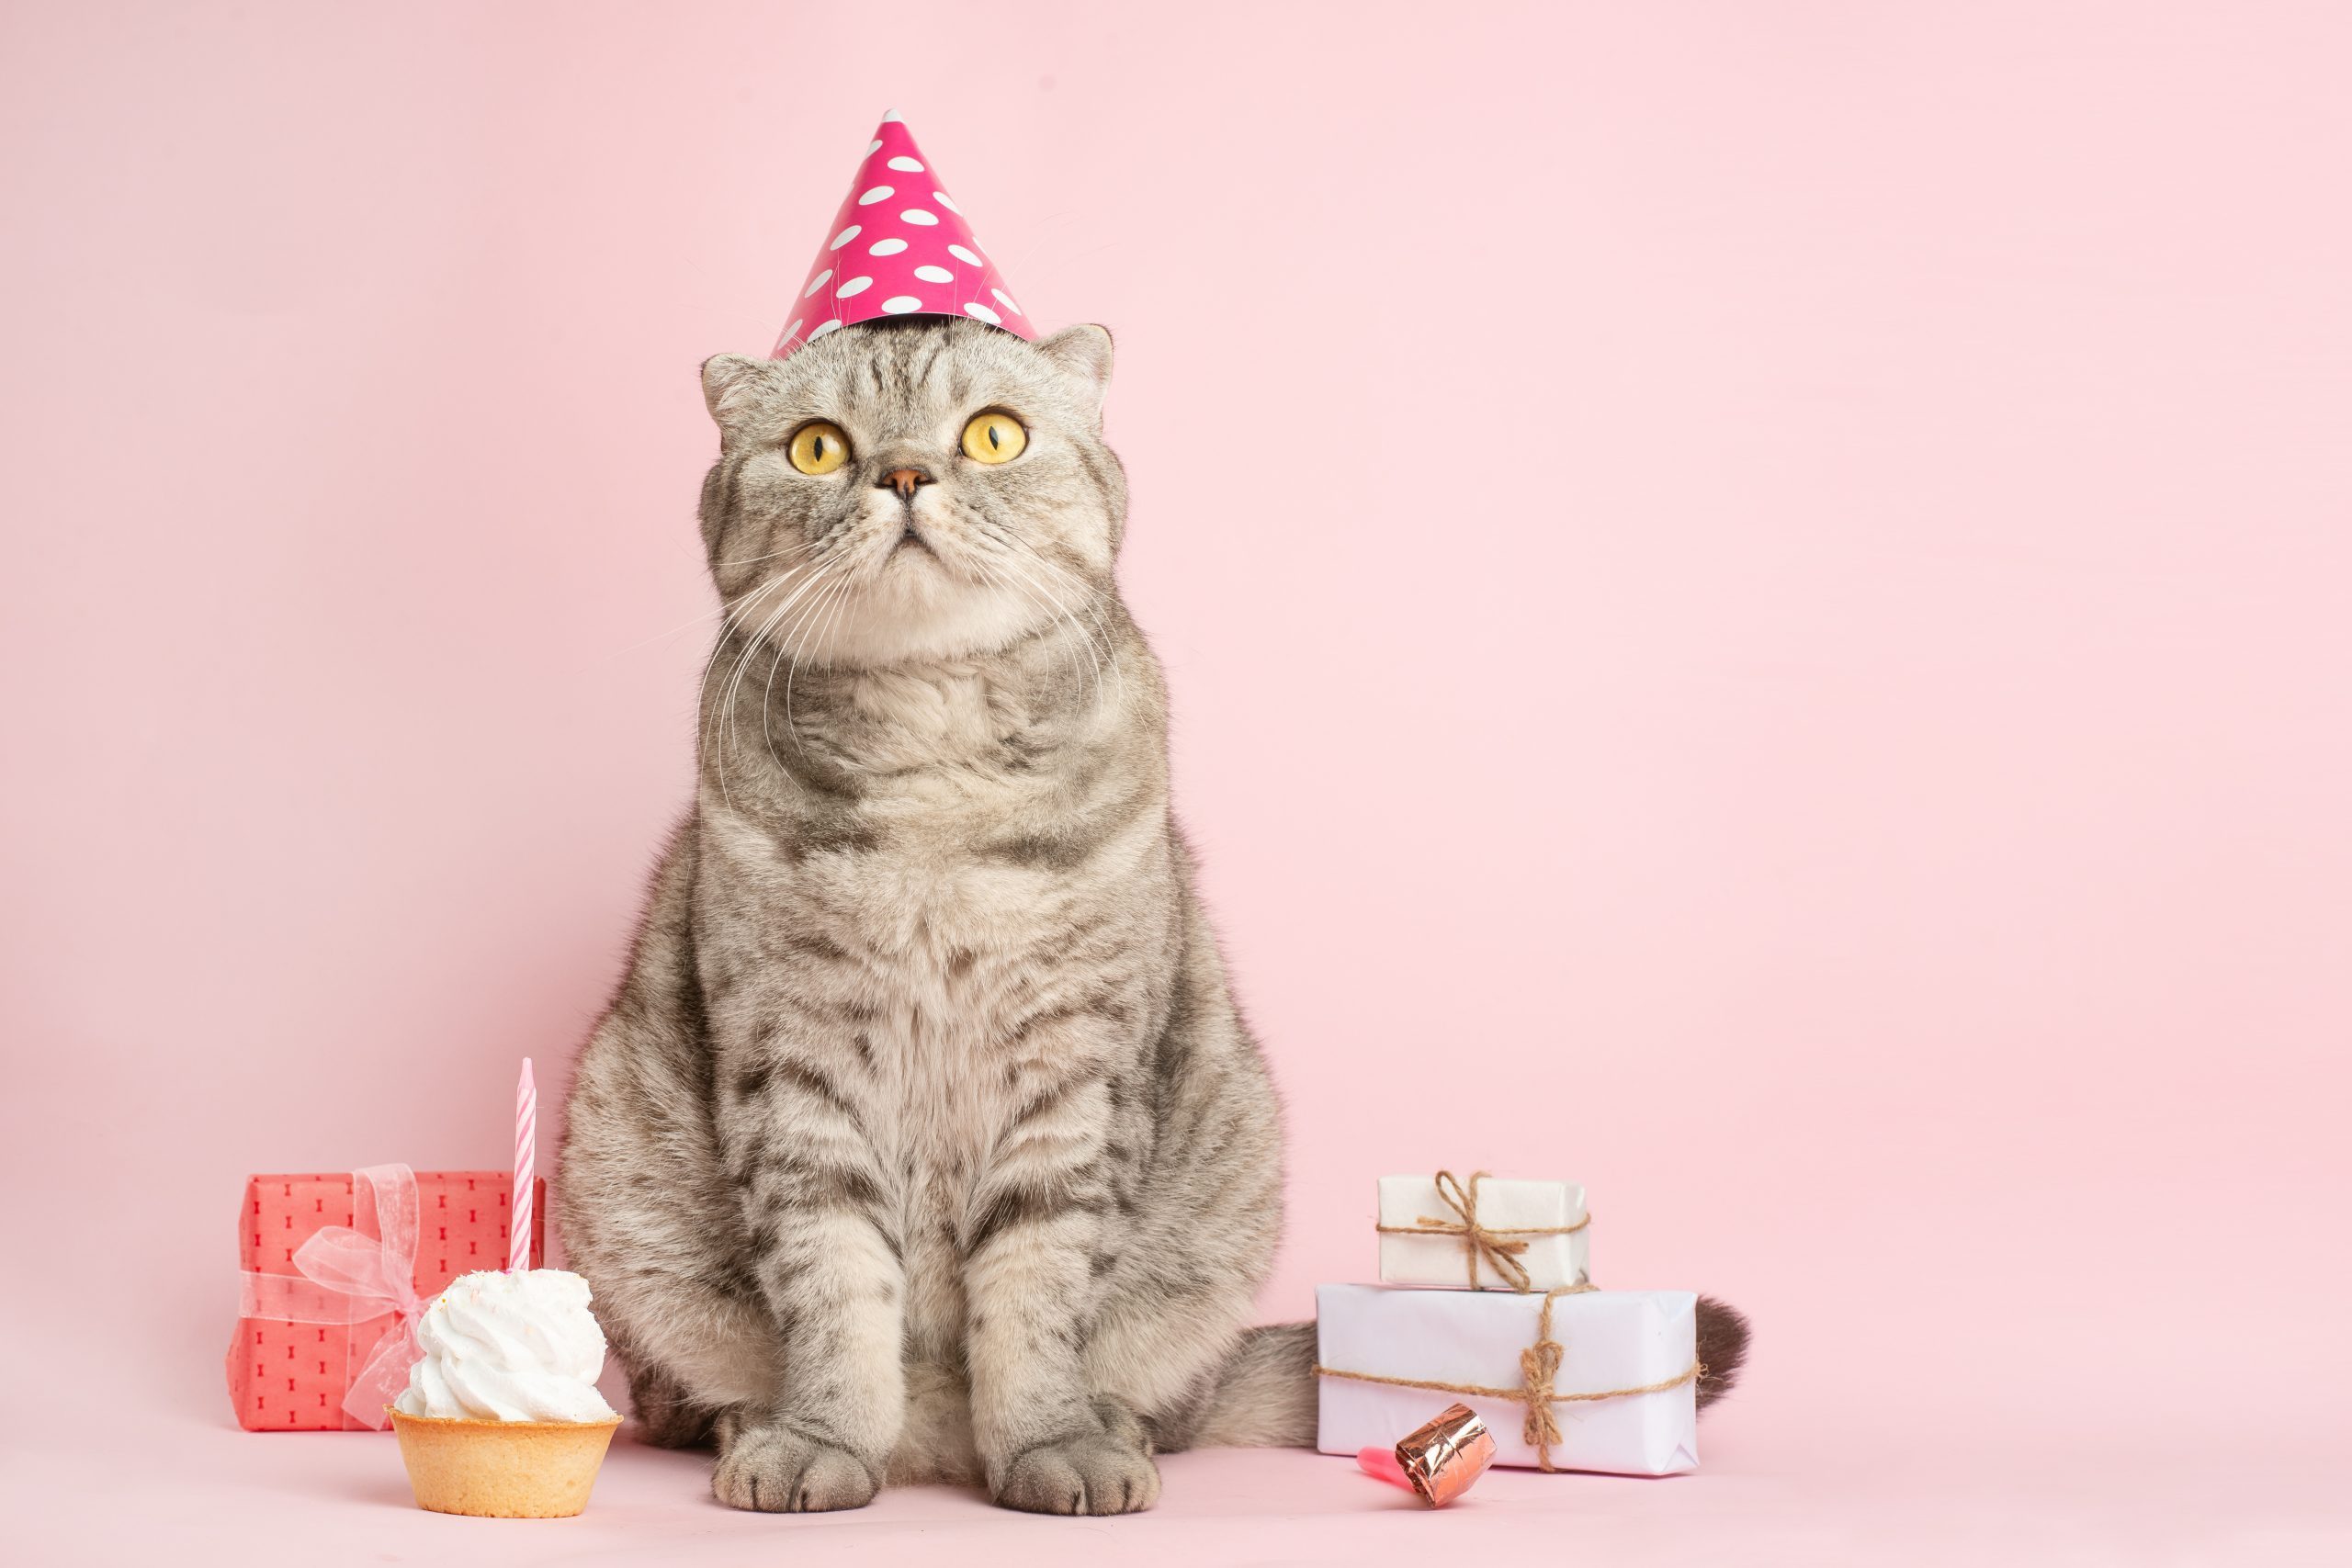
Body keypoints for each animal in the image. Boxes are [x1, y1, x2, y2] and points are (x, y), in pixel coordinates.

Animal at [555, 312, 1749, 1514]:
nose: (902, 473)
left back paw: (1110, 1422)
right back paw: (751, 1420)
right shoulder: (796, 1065)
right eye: (816, 448)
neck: (934, 773)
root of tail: (933, 1442)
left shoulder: (1075, 1070)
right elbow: (835, 1279)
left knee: (1151, 1398)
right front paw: (821, 1436)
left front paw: (1051, 1440)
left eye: (992, 436)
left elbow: (1038, 1287)